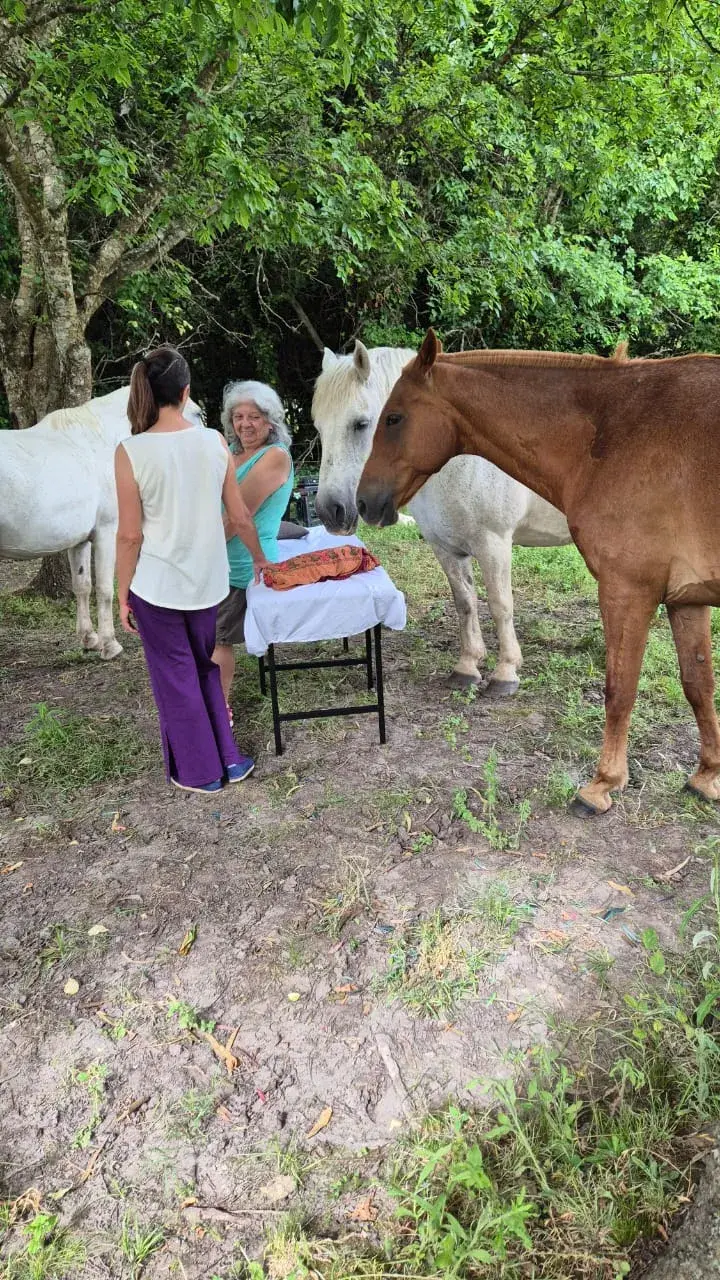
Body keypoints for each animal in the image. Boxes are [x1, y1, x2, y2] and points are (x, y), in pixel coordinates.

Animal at [0, 386, 203, 660]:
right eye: (198, 413)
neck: (103, 442)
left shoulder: (80, 540)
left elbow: (83, 586)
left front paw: (90, 639)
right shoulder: (108, 533)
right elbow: (106, 589)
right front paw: (110, 644)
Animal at [313, 342, 571, 693]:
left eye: (361, 423)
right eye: (318, 427)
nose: (331, 511)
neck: (459, 459)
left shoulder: (494, 543)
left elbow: (500, 604)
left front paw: (506, 672)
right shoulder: (445, 547)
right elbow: (465, 602)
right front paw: (467, 667)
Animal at [357, 328, 720, 815]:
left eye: (394, 418)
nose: (364, 502)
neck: (615, 432)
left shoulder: (628, 591)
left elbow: (620, 689)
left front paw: (601, 785)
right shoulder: (688, 597)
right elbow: (698, 685)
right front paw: (707, 778)